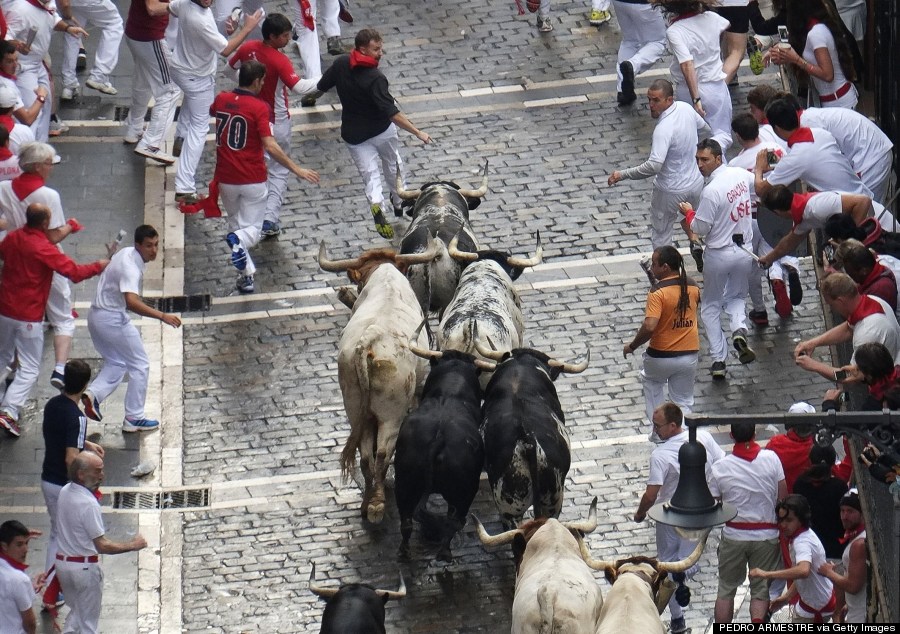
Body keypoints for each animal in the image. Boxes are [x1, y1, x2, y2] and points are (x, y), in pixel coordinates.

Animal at [318, 239, 442, 520]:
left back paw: (368, 502)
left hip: (354, 406)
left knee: (365, 454)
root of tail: (369, 341)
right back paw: (377, 503)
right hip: (391, 411)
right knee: (383, 452)